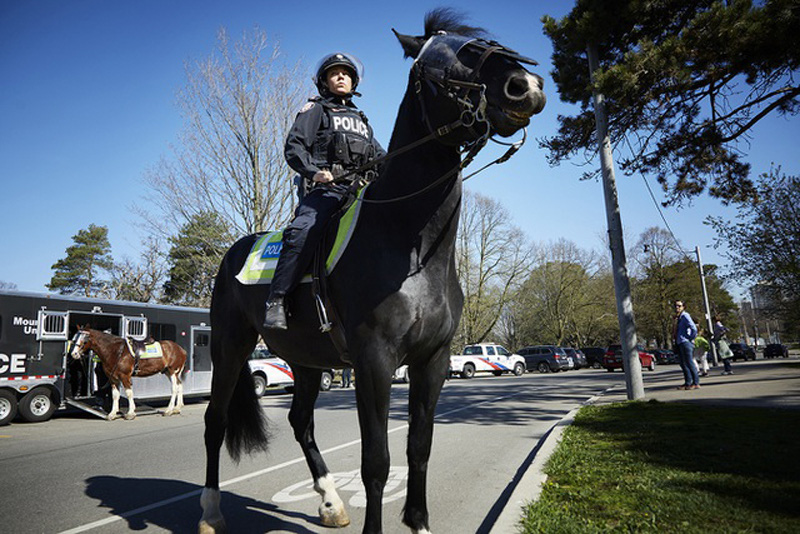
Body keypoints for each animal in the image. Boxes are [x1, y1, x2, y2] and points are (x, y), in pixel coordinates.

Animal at [198, 9, 544, 534]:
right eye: (451, 56)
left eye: (482, 42)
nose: (524, 86)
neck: (411, 246)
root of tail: (232, 253)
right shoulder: (374, 362)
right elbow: (377, 461)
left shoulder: (432, 362)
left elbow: (419, 449)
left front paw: (418, 522)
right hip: (230, 346)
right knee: (215, 421)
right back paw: (211, 511)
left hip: (306, 360)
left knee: (301, 421)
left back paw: (329, 502)